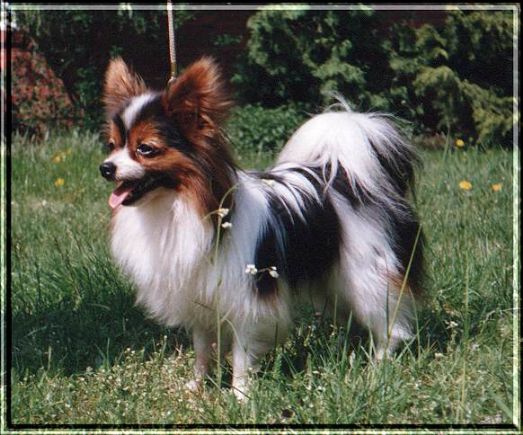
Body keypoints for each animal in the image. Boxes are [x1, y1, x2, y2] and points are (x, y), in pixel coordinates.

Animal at [99, 57, 424, 400]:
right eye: (112, 145)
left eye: (145, 149)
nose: (105, 167)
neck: (177, 205)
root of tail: (347, 177)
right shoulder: (198, 300)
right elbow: (202, 350)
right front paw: (198, 387)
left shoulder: (247, 302)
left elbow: (241, 355)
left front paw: (240, 396)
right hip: (334, 277)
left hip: (367, 277)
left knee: (392, 327)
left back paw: (377, 368)